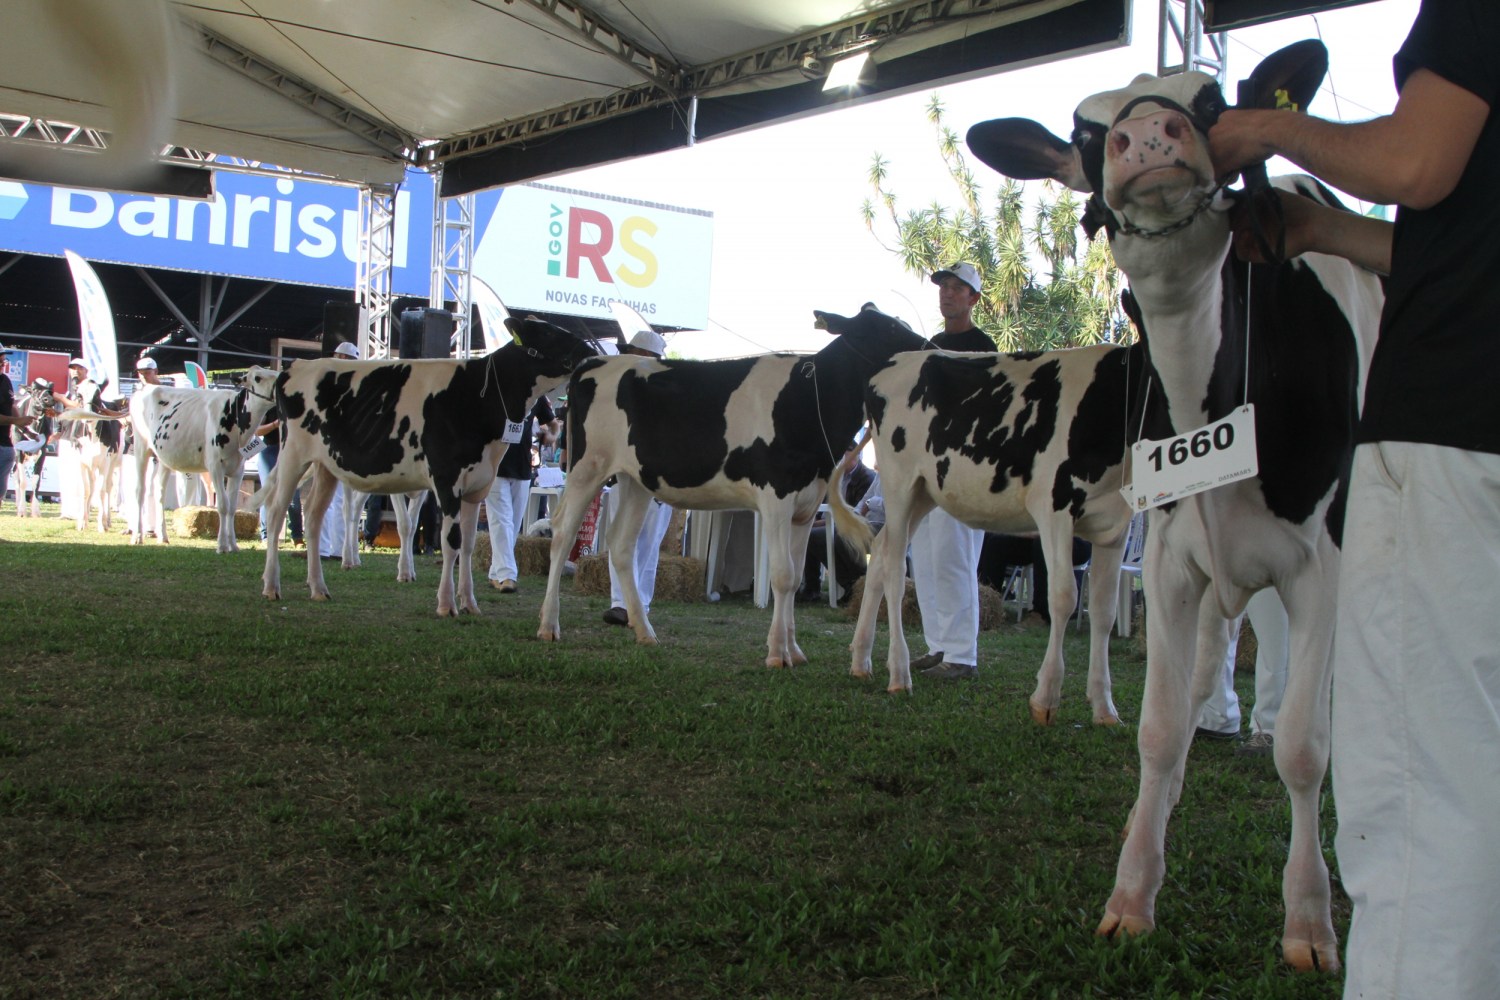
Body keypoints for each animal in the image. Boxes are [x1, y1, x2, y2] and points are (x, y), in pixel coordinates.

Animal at [124, 367, 282, 554]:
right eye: (258, 378)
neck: (234, 418)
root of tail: (145, 388)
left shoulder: (238, 469)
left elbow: (232, 507)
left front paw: (233, 545)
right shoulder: (215, 467)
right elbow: (222, 505)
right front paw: (222, 546)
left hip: (163, 458)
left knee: (159, 492)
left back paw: (163, 537)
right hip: (141, 448)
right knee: (139, 491)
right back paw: (137, 536)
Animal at [249, 320, 594, 617]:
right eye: (548, 332)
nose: (589, 348)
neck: (479, 398)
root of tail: (296, 366)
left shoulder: (476, 485)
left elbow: (468, 545)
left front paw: (470, 603)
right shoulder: (446, 479)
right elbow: (450, 542)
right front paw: (446, 605)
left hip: (325, 466)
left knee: (314, 516)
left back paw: (318, 588)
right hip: (293, 454)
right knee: (277, 511)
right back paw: (270, 586)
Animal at [540, 308, 924, 668]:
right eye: (890, 328)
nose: (931, 348)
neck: (806, 401)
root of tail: (595, 362)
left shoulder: (806, 505)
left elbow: (797, 574)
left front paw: (794, 650)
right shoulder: (776, 496)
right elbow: (783, 575)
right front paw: (777, 653)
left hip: (636, 480)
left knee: (621, 545)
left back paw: (645, 631)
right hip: (587, 467)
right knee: (562, 534)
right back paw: (548, 625)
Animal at [846, 341, 1146, 719]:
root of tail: (893, 362)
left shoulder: (1114, 526)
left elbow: (1104, 611)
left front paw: (1105, 708)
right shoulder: (1054, 508)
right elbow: (1064, 597)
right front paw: (1046, 696)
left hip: (924, 494)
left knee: (881, 557)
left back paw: (861, 661)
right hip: (900, 484)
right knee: (895, 572)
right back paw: (898, 673)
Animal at [972, 39, 1380, 971]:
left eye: (1214, 101)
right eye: (1086, 130)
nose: (1150, 136)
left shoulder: (1325, 567)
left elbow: (1304, 748)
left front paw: (1309, 919)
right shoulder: (1167, 557)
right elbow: (1158, 728)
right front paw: (1133, 889)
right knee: (1201, 674)